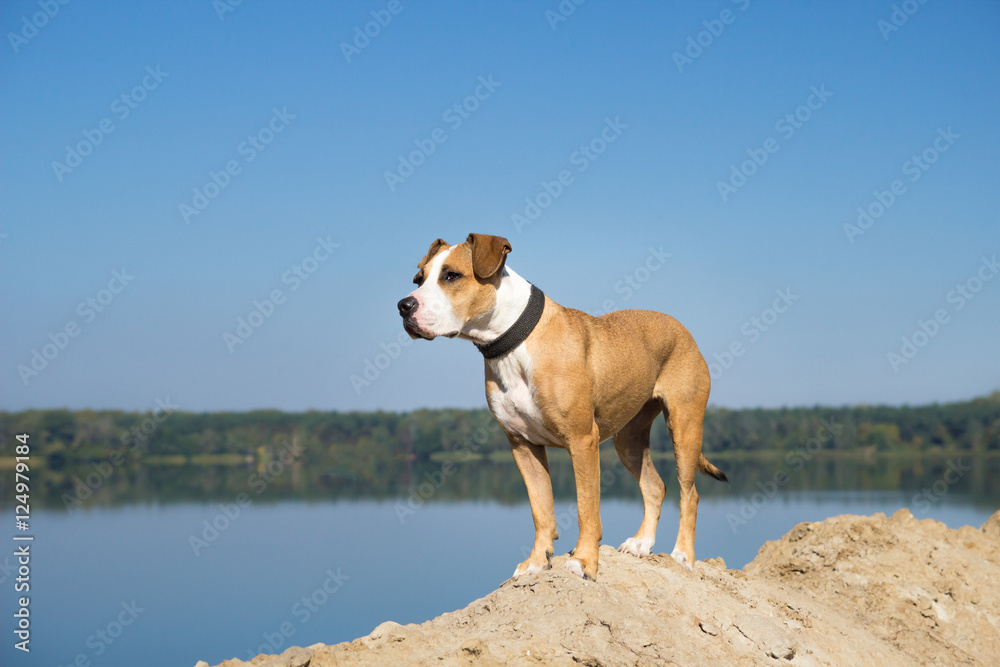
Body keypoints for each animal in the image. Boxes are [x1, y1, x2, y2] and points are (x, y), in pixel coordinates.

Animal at [396, 234, 728, 580]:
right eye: (418, 279)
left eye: (452, 276)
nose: (404, 305)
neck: (513, 343)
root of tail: (682, 328)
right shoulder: (522, 445)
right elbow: (541, 509)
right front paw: (536, 561)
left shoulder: (582, 441)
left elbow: (586, 507)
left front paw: (584, 561)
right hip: (629, 439)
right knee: (655, 486)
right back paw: (641, 543)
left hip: (685, 427)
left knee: (690, 494)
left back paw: (683, 555)